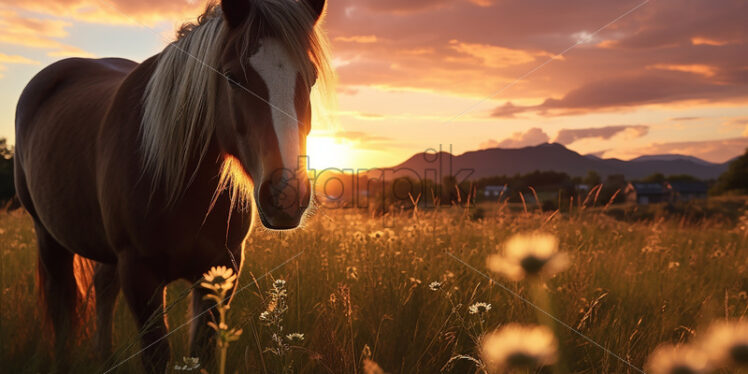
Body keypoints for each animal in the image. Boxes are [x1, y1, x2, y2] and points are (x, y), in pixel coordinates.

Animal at [10, 0, 334, 372]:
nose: (285, 195)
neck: (182, 185)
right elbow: (156, 355)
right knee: (61, 303)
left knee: (102, 289)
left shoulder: (220, 270)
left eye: (310, 78)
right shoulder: (139, 275)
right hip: (48, 236)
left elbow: (201, 353)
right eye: (231, 76)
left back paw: (104, 356)